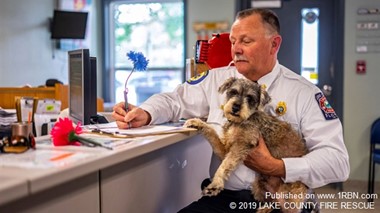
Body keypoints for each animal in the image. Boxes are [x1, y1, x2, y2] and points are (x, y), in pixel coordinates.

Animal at [184, 77, 312, 213]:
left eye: (250, 98)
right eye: (233, 92)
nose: (235, 107)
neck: (241, 121)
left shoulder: (242, 145)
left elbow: (224, 165)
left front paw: (215, 185)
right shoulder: (225, 149)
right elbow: (212, 133)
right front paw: (197, 123)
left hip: (292, 196)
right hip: (258, 186)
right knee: (273, 203)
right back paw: (264, 209)